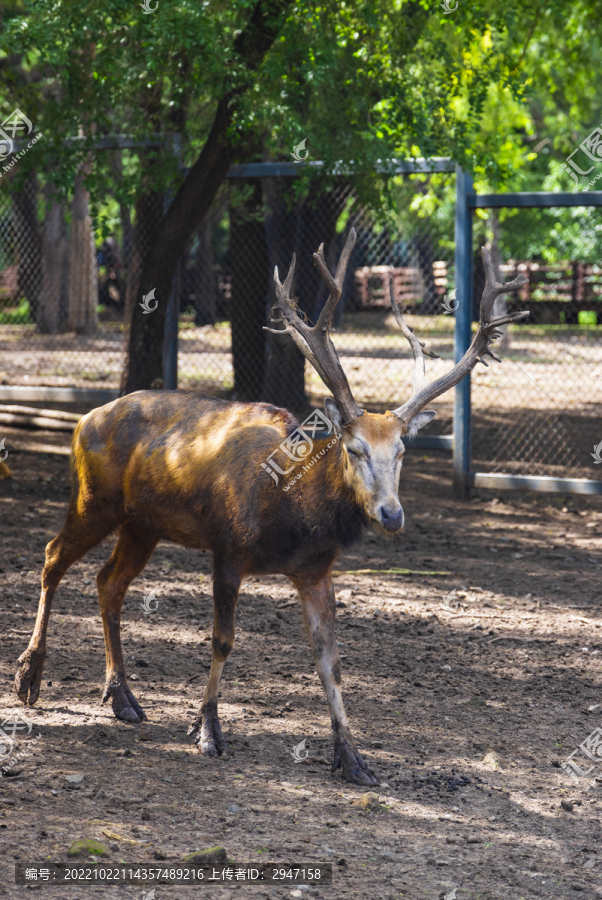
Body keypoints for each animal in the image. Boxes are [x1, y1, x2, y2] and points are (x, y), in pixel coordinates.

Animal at [14, 229, 524, 784]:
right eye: (354, 449)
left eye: (403, 451)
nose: (392, 515)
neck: (294, 519)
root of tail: (83, 418)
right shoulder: (228, 550)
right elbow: (223, 640)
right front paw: (207, 731)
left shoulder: (316, 571)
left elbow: (330, 660)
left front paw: (353, 757)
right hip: (93, 498)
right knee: (51, 556)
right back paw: (29, 677)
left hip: (142, 525)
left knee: (108, 582)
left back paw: (123, 698)